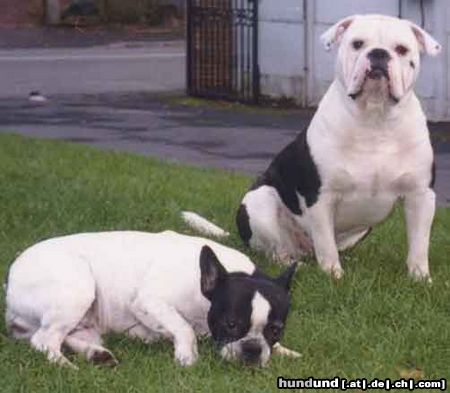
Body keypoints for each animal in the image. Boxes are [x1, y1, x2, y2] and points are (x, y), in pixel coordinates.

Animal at [4, 230, 298, 368]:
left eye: (276, 330)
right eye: (231, 324)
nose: (253, 350)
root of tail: (11, 281)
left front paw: (284, 351)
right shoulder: (148, 302)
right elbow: (184, 327)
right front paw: (187, 356)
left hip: (85, 318)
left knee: (68, 336)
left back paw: (96, 355)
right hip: (79, 288)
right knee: (44, 340)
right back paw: (65, 365)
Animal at [183, 14, 440, 278]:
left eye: (401, 49)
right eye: (357, 44)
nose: (378, 53)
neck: (375, 118)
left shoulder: (421, 195)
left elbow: (419, 242)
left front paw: (420, 277)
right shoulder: (320, 197)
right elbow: (325, 243)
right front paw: (333, 275)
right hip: (261, 201)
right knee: (277, 249)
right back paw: (294, 263)